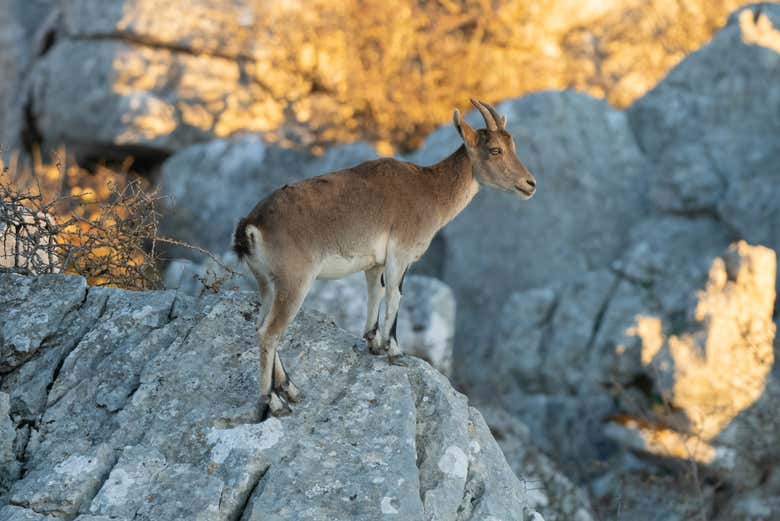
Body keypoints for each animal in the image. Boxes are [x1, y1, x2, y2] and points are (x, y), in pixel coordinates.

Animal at [233, 99, 537, 416]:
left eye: (512, 145)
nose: (530, 183)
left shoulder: (375, 262)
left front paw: (374, 344)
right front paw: (395, 351)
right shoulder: (400, 254)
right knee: (270, 333)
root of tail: (251, 225)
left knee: (261, 326)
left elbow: (375, 292)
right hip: (295, 282)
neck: (430, 190)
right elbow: (395, 295)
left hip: (268, 284)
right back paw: (274, 401)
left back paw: (290, 388)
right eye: (495, 150)